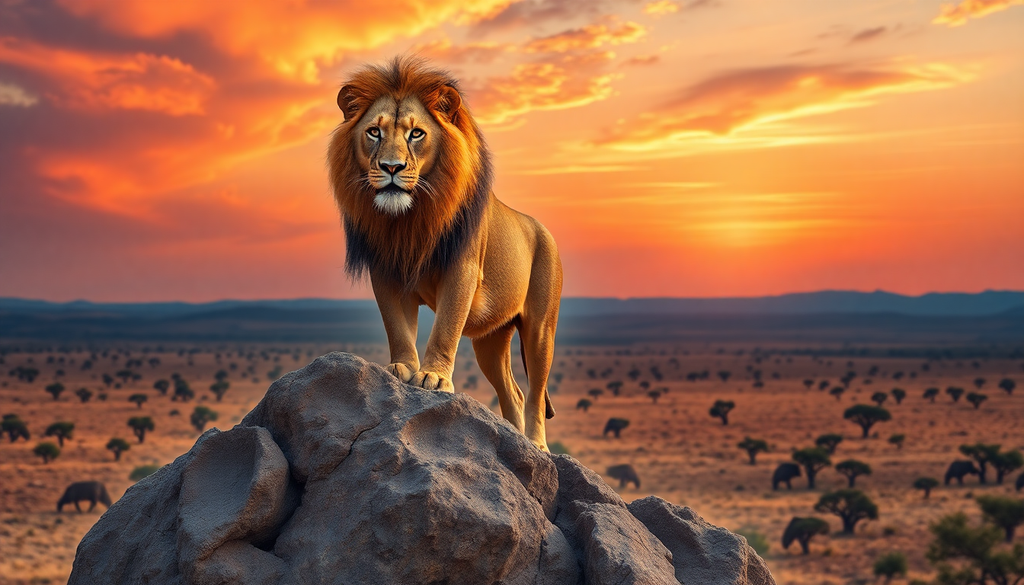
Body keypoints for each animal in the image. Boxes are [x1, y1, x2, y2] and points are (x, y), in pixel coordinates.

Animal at [327, 57, 562, 451]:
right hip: (491, 340)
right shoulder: (386, 271)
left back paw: (537, 446)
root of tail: (543, 230)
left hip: (540, 329)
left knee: (535, 391)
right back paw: (514, 441)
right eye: (374, 132)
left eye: (416, 134)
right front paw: (401, 368)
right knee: (512, 393)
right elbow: (397, 326)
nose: (392, 167)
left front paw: (434, 378)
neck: (409, 220)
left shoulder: (462, 270)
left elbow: (446, 326)